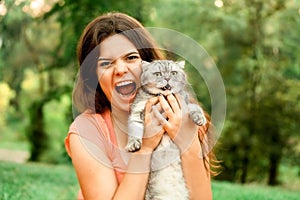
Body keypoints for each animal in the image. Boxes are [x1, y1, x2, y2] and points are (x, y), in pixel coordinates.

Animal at [125, 59, 206, 200]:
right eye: (158, 74)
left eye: (173, 73)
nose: (167, 78)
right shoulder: (136, 113)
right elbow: (134, 131)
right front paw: (133, 144)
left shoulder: (186, 105)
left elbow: (196, 108)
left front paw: (200, 119)